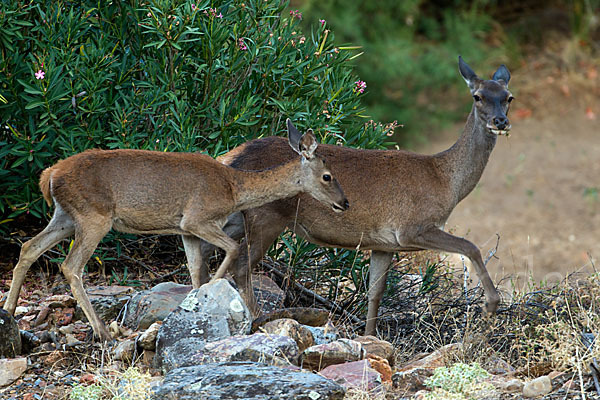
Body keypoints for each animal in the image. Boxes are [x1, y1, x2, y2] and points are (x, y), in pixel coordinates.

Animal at [3, 119, 352, 340]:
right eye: (328, 176)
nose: (345, 203)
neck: (234, 188)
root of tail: (49, 174)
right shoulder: (197, 218)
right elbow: (231, 250)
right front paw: (211, 292)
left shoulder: (184, 230)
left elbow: (195, 269)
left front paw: (197, 305)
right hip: (94, 216)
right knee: (70, 265)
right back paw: (102, 332)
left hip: (65, 216)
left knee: (29, 247)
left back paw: (8, 309)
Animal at [196, 56, 510, 336]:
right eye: (478, 96)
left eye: (508, 97)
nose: (501, 121)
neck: (446, 181)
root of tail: (231, 158)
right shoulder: (414, 227)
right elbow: (471, 246)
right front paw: (491, 305)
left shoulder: (385, 244)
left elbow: (375, 293)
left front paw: (370, 337)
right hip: (267, 216)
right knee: (241, 267)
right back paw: (257, 319)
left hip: (236, 217)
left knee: (204, 250)